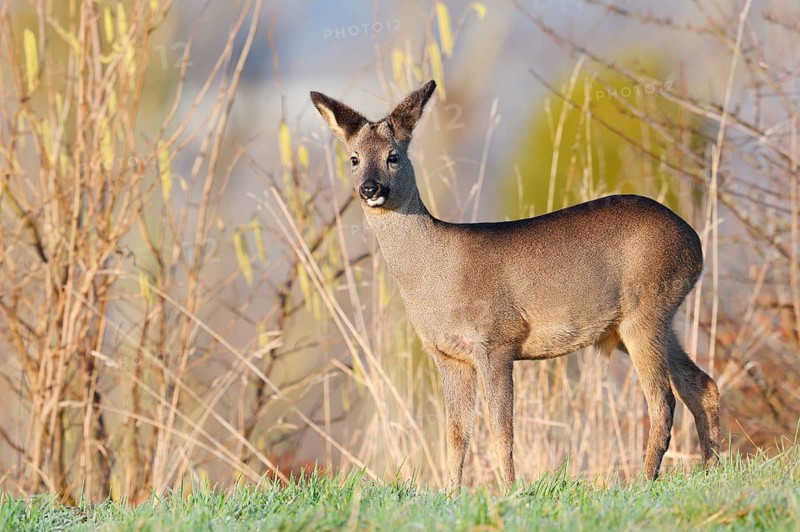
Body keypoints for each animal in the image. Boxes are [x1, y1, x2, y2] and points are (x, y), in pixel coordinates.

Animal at [309, 80, 720, 488]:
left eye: (393, 156)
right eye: (354, 158)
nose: (370, 188)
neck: (435, 274)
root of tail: (695, 243)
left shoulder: (496, 340)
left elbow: (500, 429)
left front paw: (509, 490)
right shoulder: (448, 355)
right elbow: (456, 433)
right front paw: (451, 493)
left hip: (644, 309)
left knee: (662, 400)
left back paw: (644, 479)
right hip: (639, 324)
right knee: (702, 385)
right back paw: (711, 467)